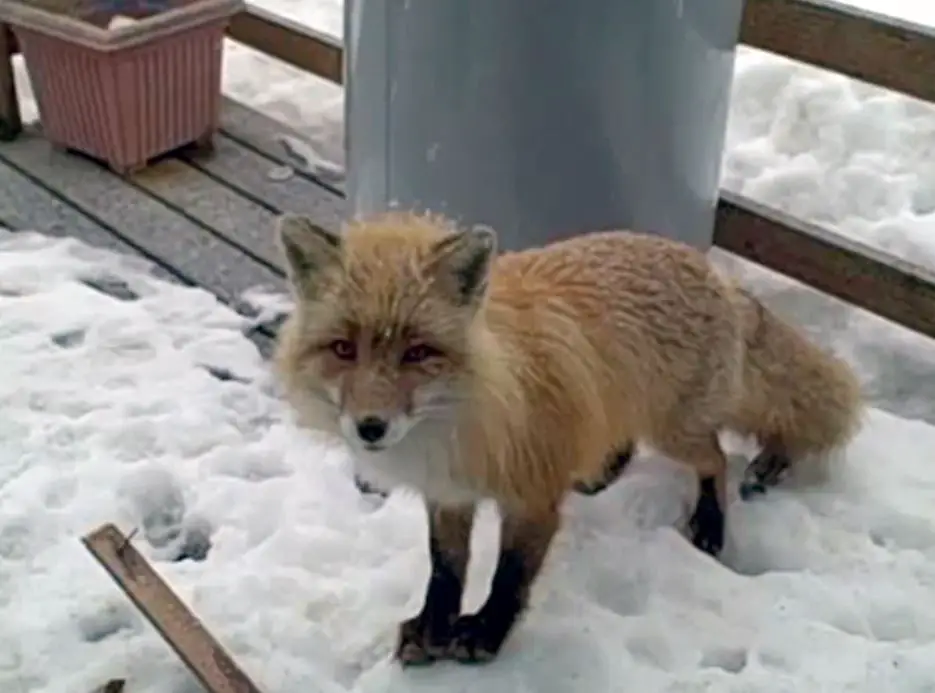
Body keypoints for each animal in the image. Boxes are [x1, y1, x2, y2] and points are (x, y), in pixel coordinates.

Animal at [270, 209, 864, 664]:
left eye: (418, 352)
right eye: (343, 349)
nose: (370, 427)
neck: (462, 420)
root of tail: (713, 272)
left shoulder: (532, 498)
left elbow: (510, 575)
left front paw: (484, 634)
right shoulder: (450, 495)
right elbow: (446, 569)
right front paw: (433, 627)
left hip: (675, 431)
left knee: (715, 460)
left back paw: (710, 524)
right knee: (626, 440)